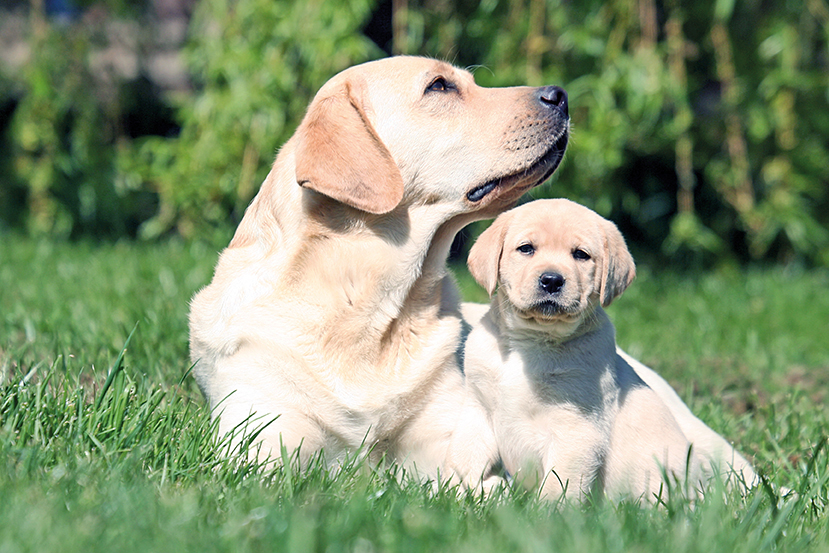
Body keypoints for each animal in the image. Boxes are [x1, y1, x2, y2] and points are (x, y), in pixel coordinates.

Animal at [462, 199, 752, 500]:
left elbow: (558, 485)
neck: (531, 340)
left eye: (580, 255)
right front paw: (474, 495)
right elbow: (470, 456)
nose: (552, 280)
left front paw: (544, 512)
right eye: (526, 248)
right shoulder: (477, 408)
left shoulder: (577, 427)